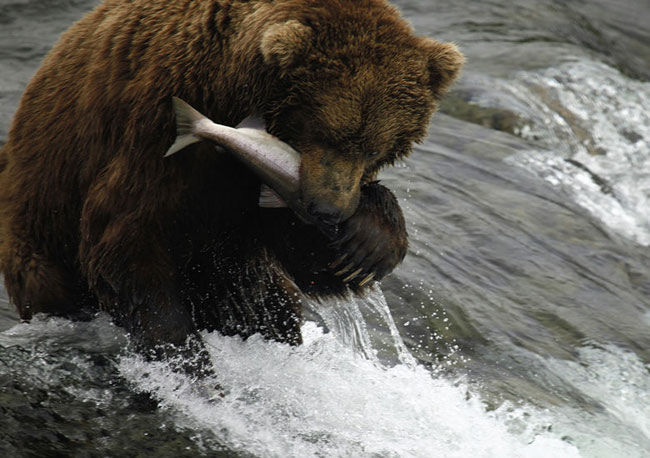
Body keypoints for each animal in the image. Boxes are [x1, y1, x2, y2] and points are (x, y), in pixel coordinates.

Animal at [0, 0, 460, 364]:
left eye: (375, 146)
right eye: (324, 134)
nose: (329, 211)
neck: (230, 88)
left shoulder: (254, 192)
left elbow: (308, 260)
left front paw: (367, 245)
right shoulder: (155, 133)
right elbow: (125, 241)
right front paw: (186, 358)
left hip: (228, 269)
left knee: (266, 306)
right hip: (40, 227)